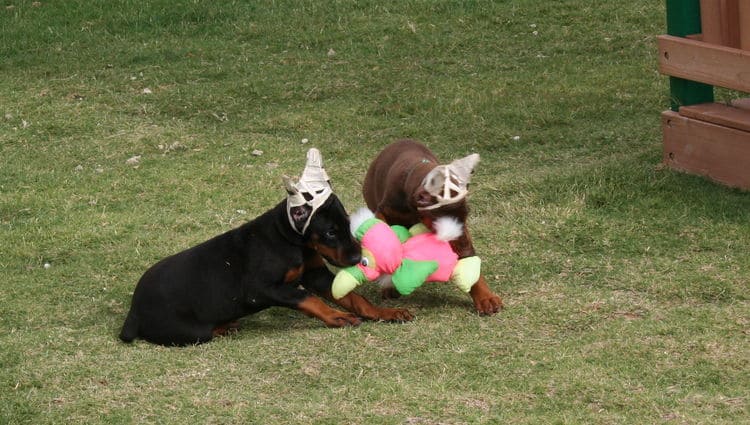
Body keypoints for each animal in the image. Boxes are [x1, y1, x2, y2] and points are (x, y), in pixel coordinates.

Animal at [119, 148, 412, 344]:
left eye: (347, 224)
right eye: (330, 232)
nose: (356, 259)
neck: (290, 240)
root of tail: (133, 312)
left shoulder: (315, 274)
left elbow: (354, 298)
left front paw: (384, 312)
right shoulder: (259, 289)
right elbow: (307, 298)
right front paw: (336, 317)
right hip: (191, 331)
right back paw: (224, 327)